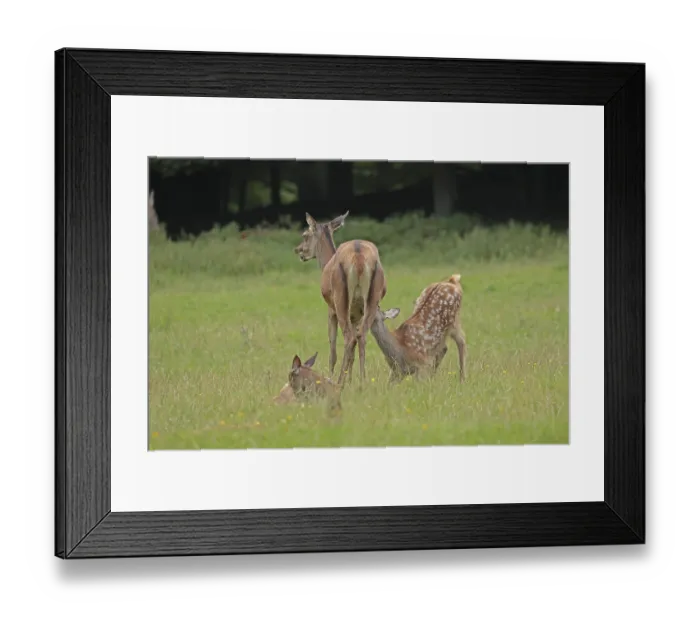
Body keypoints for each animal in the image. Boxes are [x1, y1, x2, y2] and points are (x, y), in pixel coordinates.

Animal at [294, 211, 387, 387]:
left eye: (305, 235)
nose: (298, 250)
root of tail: (358, 256)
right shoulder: (356, 314)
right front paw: (351, 380)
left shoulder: (331, 310)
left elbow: (332, 348)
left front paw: (333, 377)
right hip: (372, 299)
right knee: (361, 336)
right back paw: (362, 382)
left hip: (340, 299)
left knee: (349, 338)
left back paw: (339, 382)